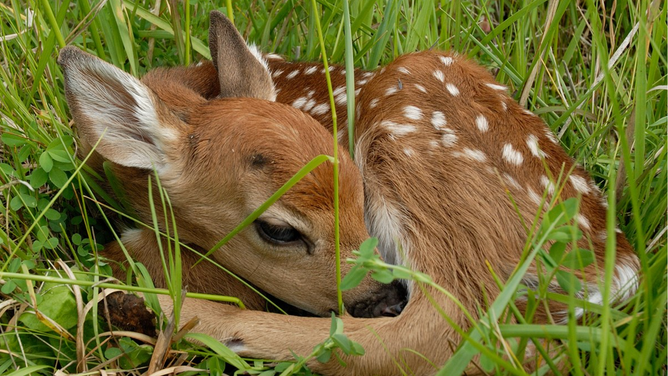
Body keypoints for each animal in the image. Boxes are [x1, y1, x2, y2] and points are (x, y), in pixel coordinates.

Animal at [60, 9, 640, 376]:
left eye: (358, 190)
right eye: (277, 230)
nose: (383, 296)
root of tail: (615, 270)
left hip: (417, 142)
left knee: (438, 329)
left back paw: (160, 309)